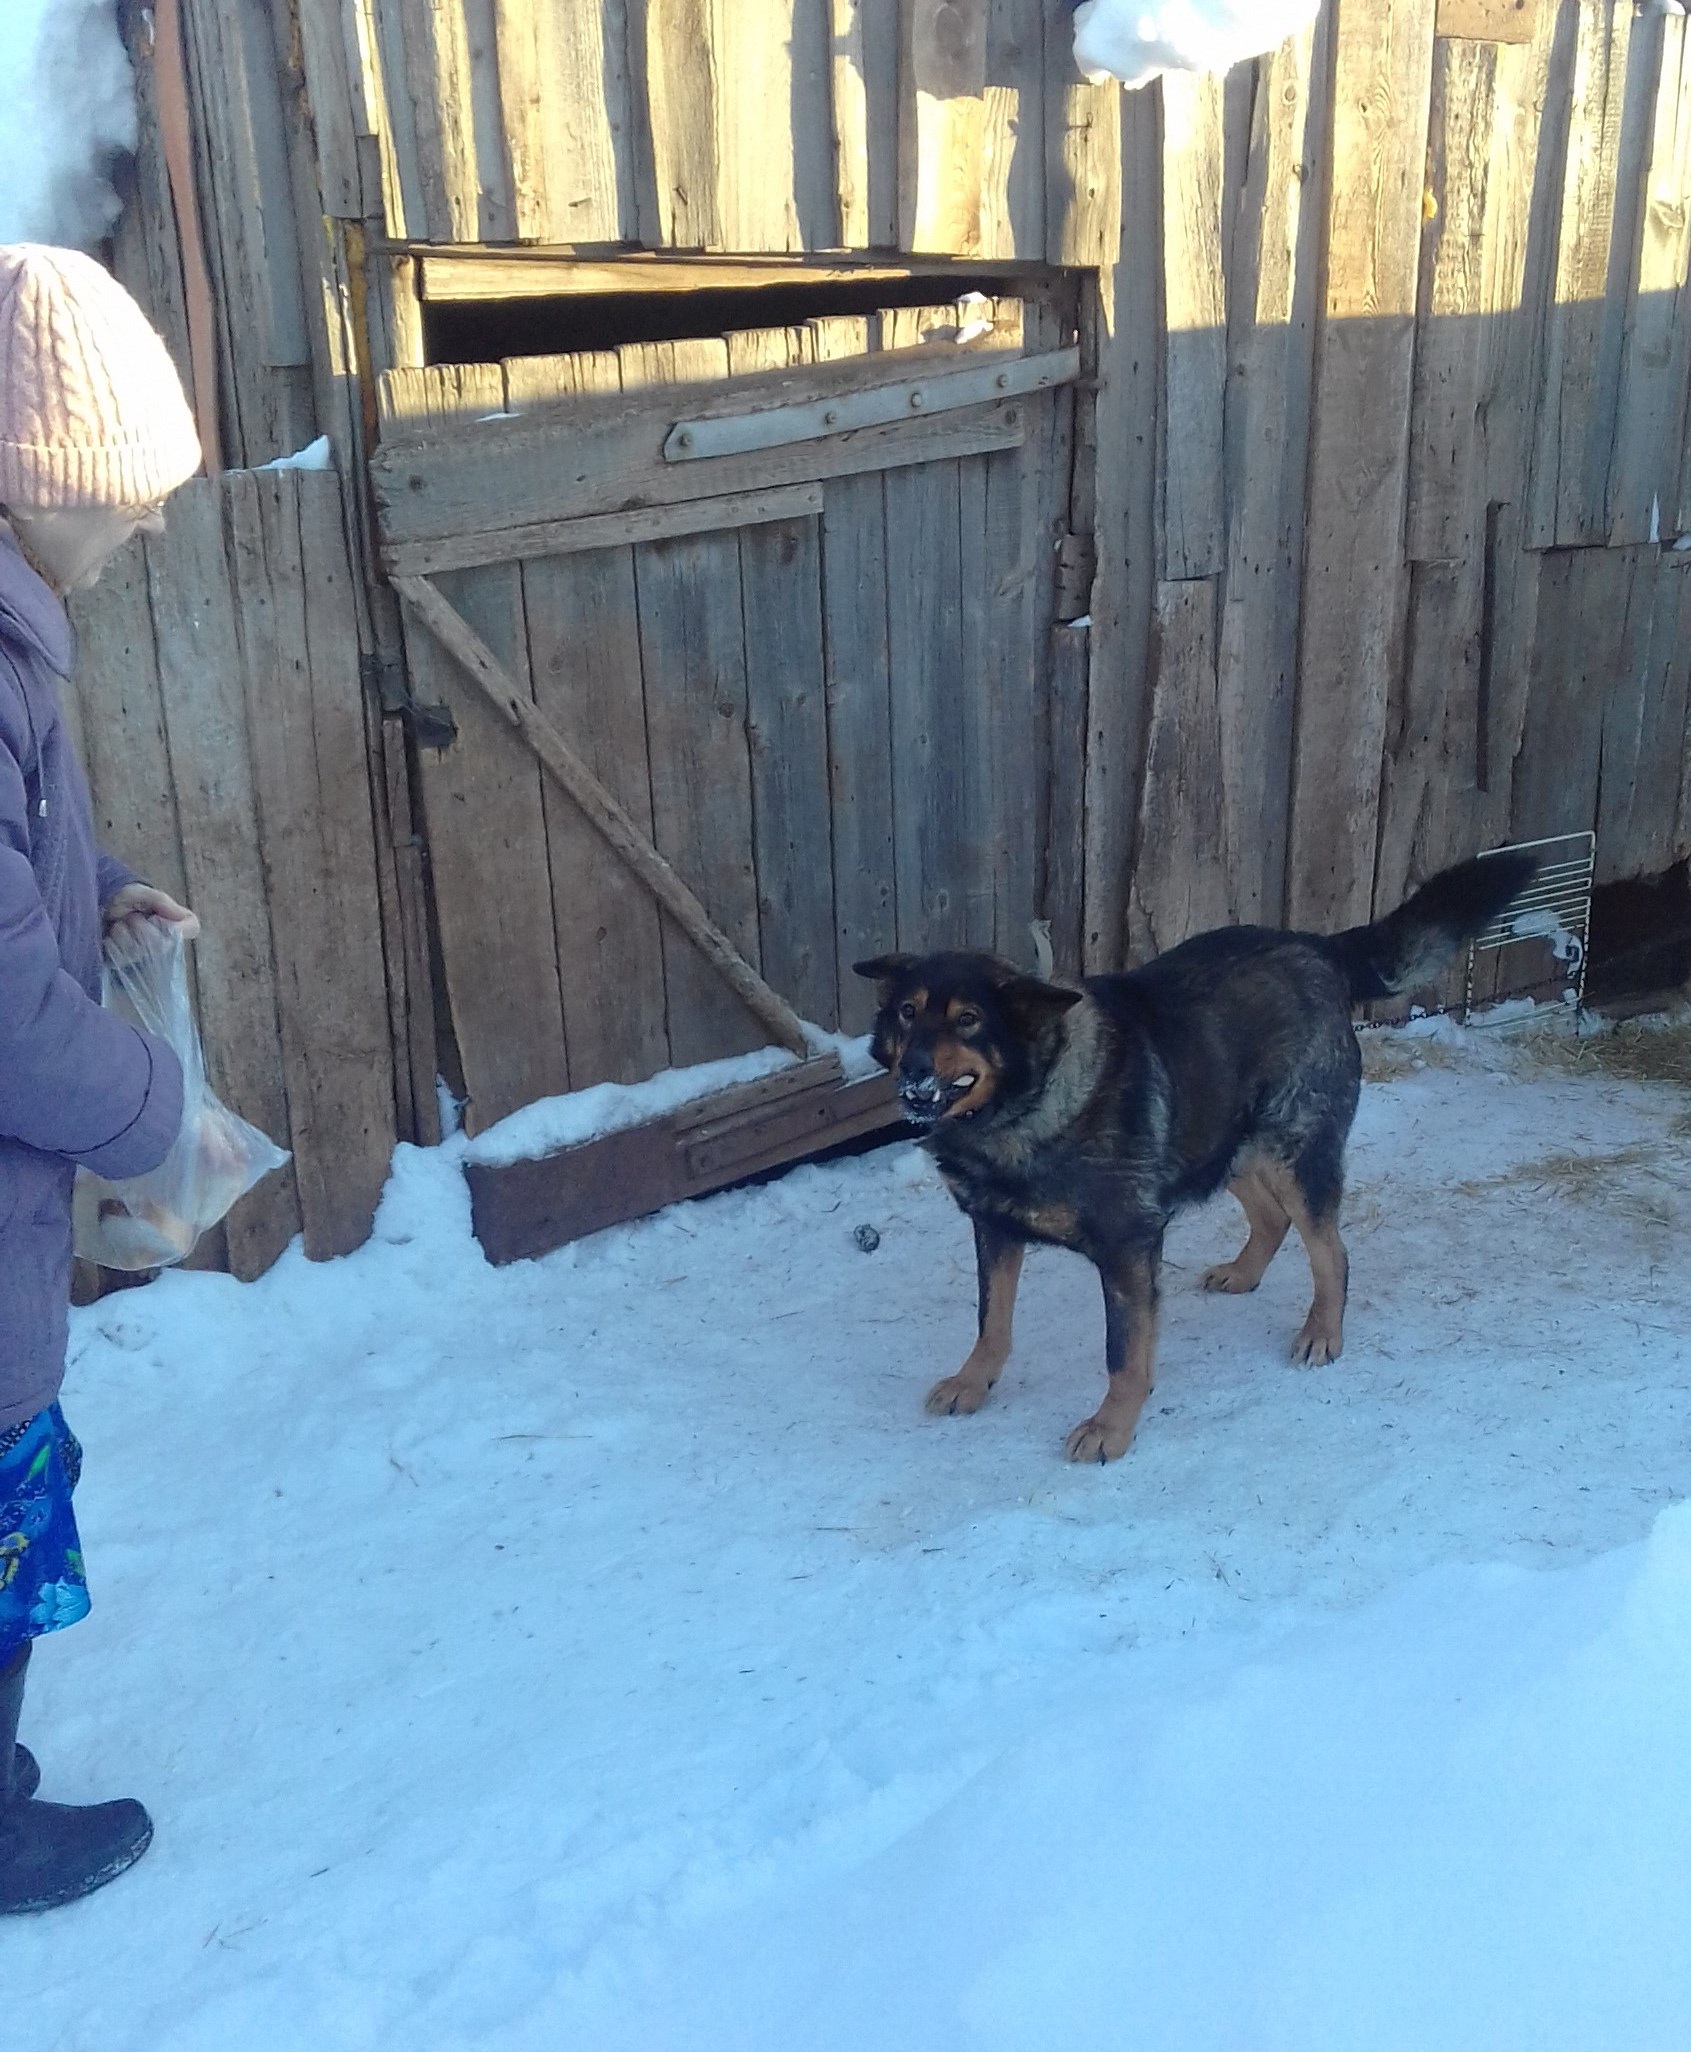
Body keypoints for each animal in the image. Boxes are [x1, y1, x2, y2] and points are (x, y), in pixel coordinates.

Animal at [855, 852, 1538, 1464]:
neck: (1027, 1106)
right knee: (1272, 1218)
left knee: (1332, 1252)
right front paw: (974, 1382)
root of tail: (1317, 946)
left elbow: (1123, 1352)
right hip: (1220, 1139)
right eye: (908, 1012)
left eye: (969, 1020)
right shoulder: (994, 1230)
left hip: (1293, 1155)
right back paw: (1244, 1274)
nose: (913, 1070)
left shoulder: (1128, 1248)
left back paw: (1322, 1332)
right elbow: (990, 1321)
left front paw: (1112, 1429)